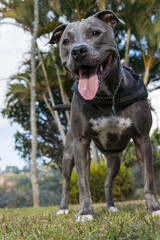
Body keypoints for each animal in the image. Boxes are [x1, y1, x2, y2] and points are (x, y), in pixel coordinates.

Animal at [49, 10, 160, 221]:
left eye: (95, 33)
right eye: (66, 41)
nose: (78, 50)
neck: (108, 95)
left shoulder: (142, 138)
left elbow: (149, 180)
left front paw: (154, 209)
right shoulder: (81, 142)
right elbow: (83, 183)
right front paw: (85, 213)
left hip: (114, 160)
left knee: (108, 182)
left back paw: (111, 206)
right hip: (68, 155)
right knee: (66, 183)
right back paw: (62, 208)